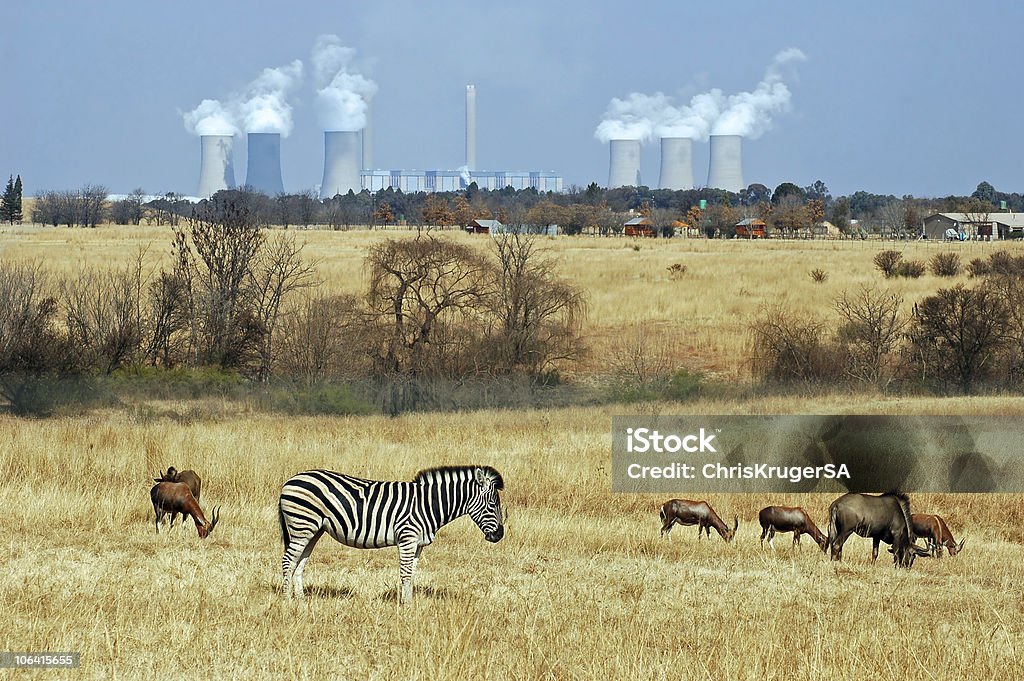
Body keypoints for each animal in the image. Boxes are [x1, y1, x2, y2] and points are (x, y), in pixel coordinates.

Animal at [278, 464, 505, 602]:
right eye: (492, 505)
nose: (499, 536)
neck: (428, 505)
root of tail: (291, 480)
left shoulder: (418, 544)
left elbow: (412, 573)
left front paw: (409, 603)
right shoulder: (407, 538)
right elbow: (405, 573)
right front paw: (406, 607)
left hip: (312, 530)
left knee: (299, 562)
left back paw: (301, 601)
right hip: (302, 525)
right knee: (288, 561)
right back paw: (288, 601)